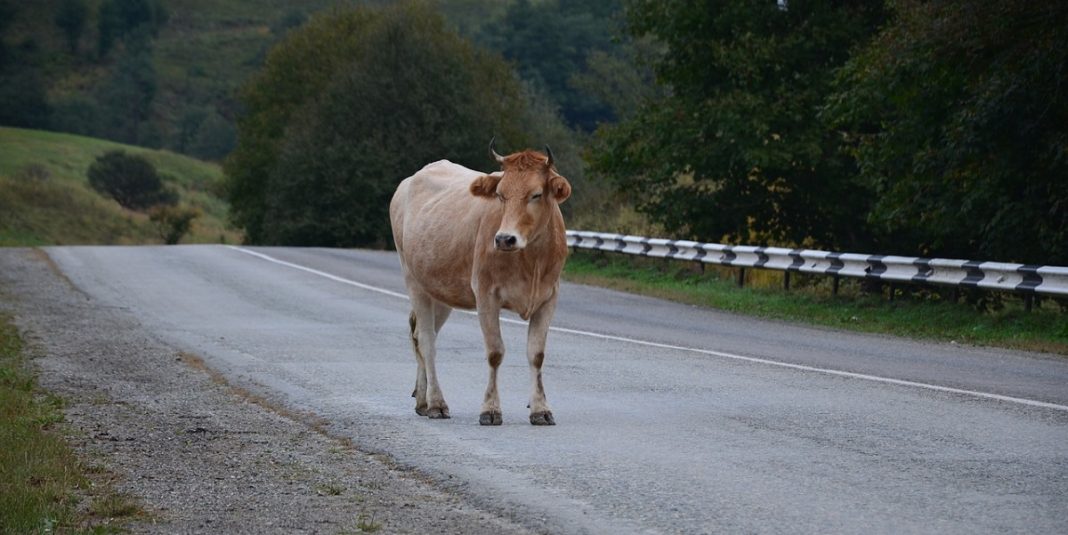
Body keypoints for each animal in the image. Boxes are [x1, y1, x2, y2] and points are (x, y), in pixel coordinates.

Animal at [390, 140, 572, 425]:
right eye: (500, 194)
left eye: (536, 195)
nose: (504, 239)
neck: (531, 260)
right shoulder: (486, 295)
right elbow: (495, 352)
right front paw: (490, 409)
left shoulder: (548, 298)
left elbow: (536, 355)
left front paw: (540, 409)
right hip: (413, 280)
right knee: (427, 341)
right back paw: (436, 403)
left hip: (441, 290)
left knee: (420, 334)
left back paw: (422, 399)